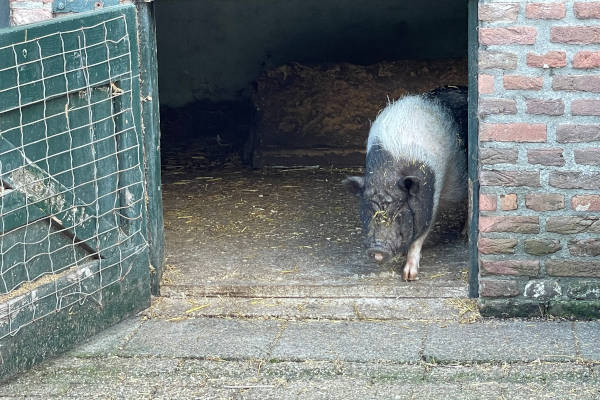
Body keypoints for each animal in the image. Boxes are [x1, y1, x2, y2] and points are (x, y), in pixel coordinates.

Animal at [342, 86, 468, 282]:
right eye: (369, 209)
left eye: (399, 211)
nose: (378, 249)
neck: (386, 174)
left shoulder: (429, 202)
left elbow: (418, 239)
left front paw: (409, 277)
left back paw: (465, 235)